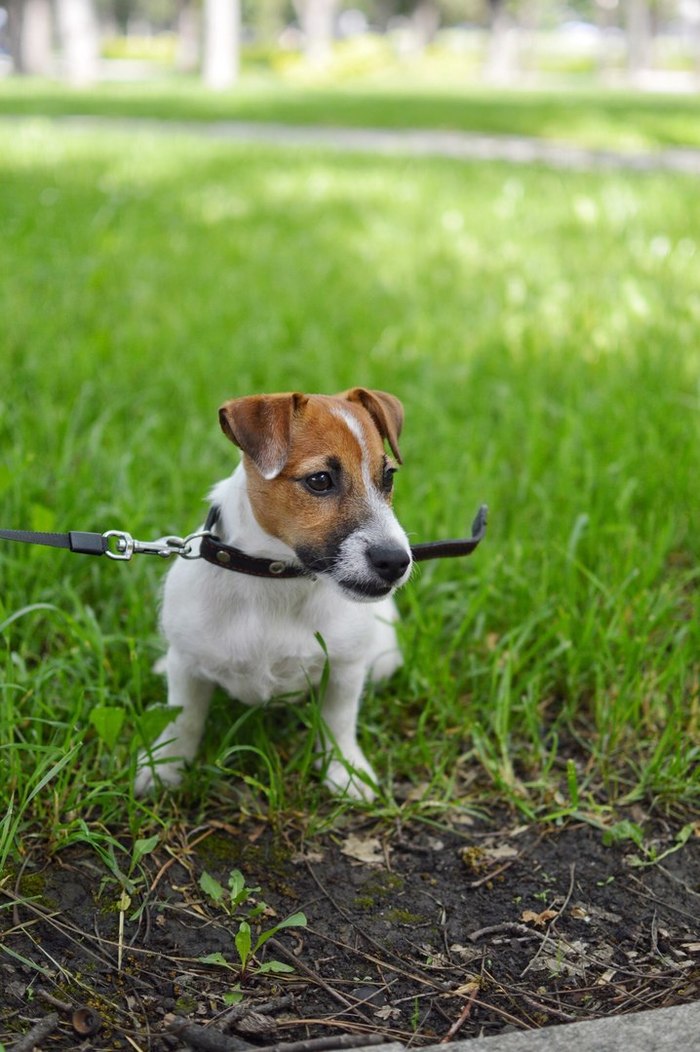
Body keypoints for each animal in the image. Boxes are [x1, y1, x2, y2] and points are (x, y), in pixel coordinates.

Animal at [133, 391, 412, 799]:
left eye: (388, 476)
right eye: (320, 480)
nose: (396, 561)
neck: (274, 576)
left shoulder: (344, 669)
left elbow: (338, 722)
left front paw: (346, 770)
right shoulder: (187, 665)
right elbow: (184, 719)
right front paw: (165, 768)